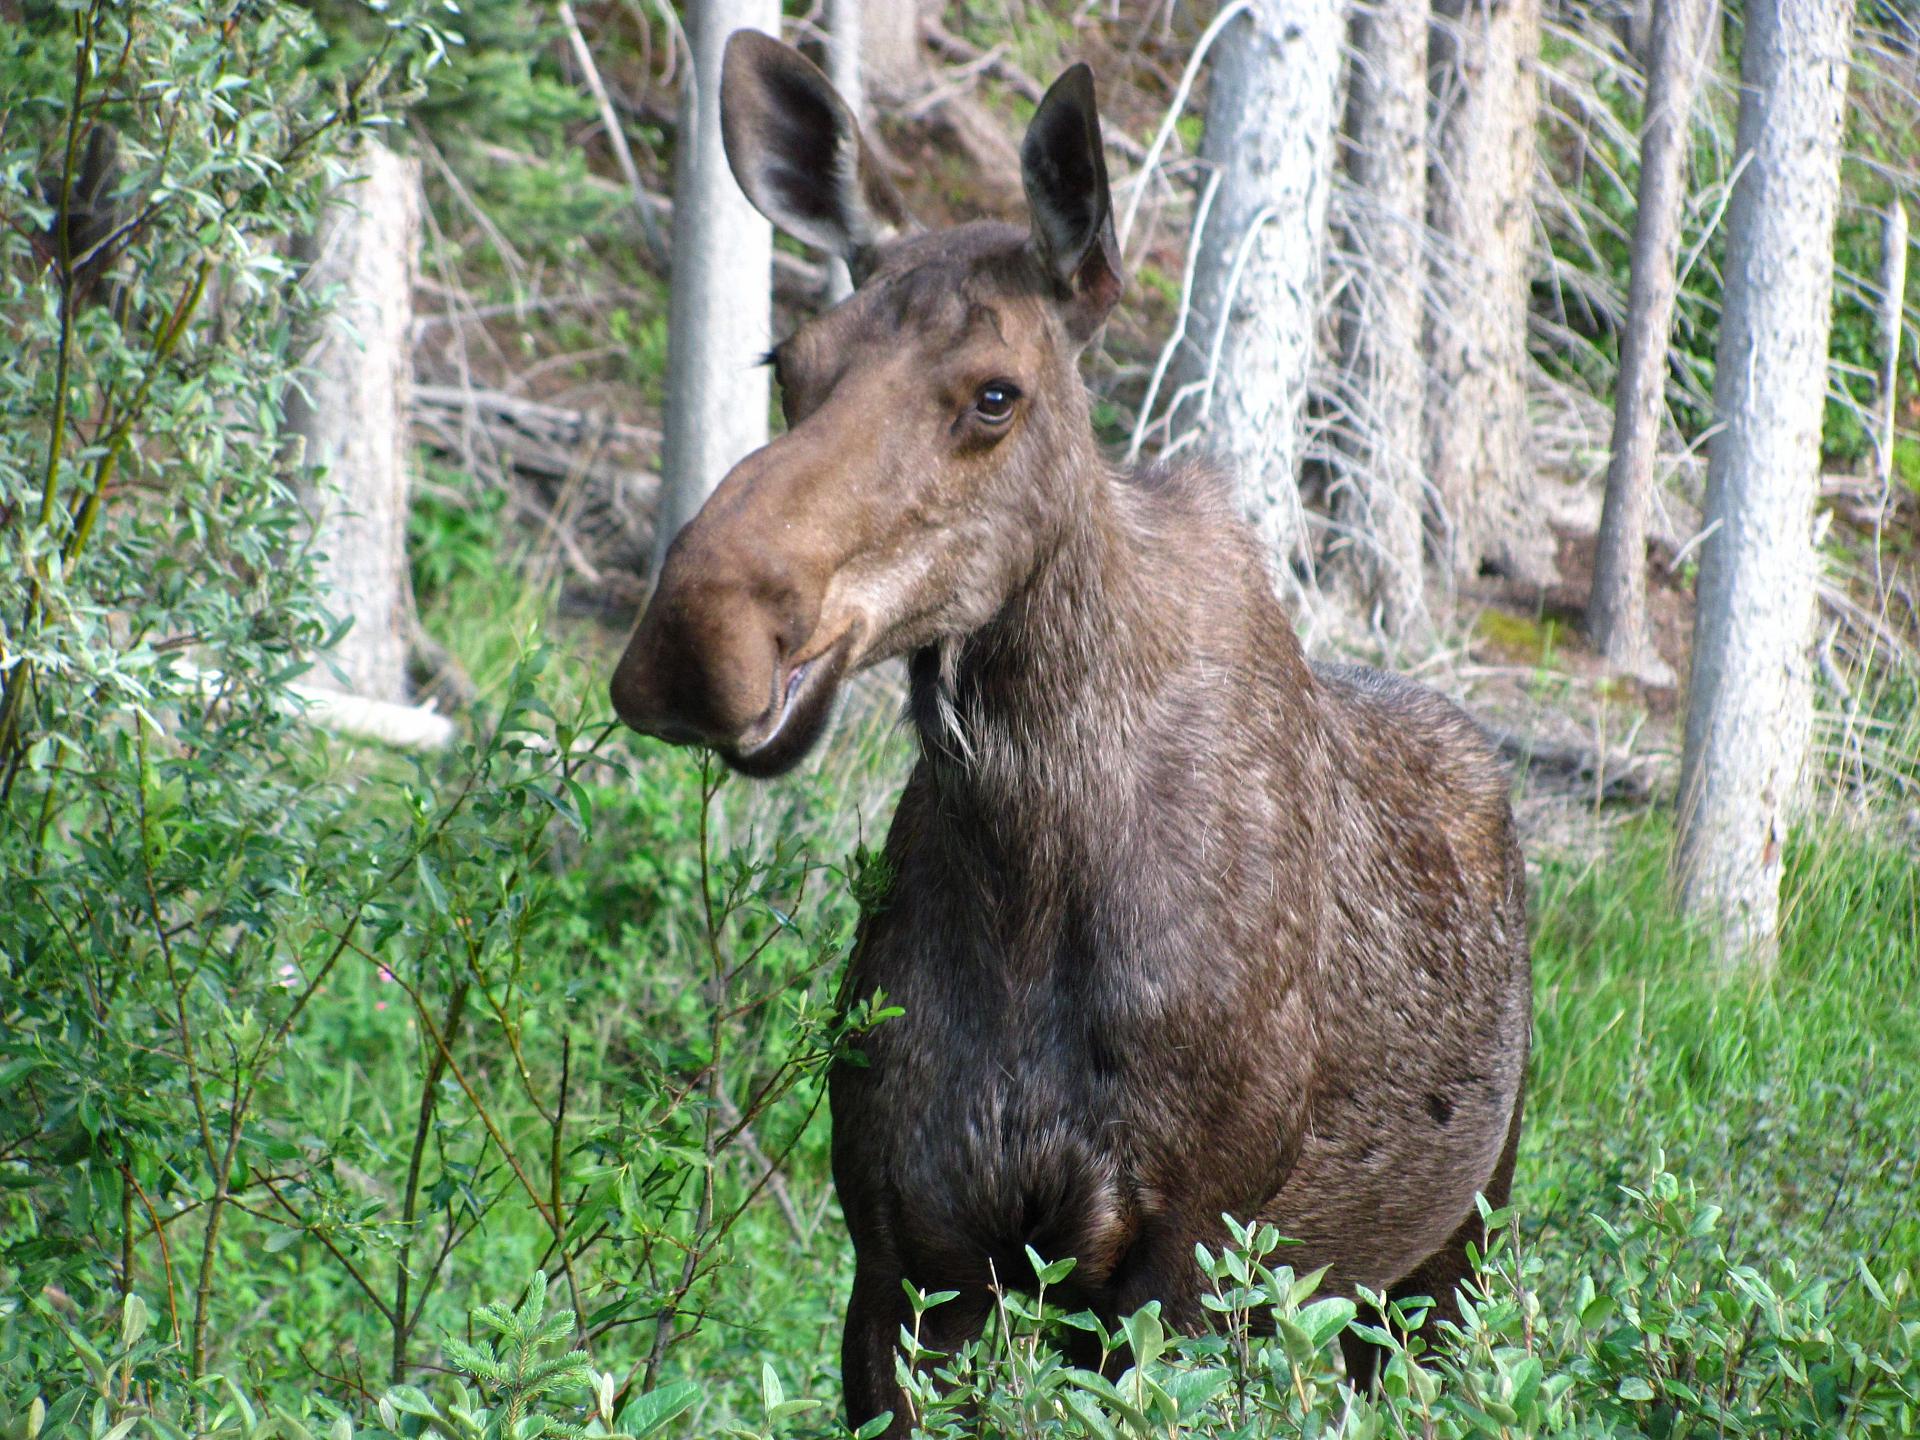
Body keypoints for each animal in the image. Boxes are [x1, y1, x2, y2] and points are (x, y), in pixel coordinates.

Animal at [609, 32, 1532, 1434]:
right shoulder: (903, 1256)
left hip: (1450, 1254)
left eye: (996, 395)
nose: (694, 638)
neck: (1025, 863)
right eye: (785, 363)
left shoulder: (1175, 1262)